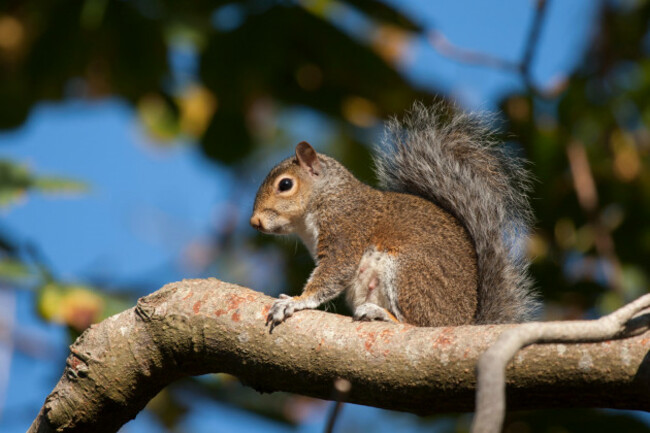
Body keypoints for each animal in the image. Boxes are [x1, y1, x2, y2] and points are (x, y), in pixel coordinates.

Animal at [250, 102, 538, 330]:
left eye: (285, 185)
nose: (255, 222)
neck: (328, 196)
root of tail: (463, 322)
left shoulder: (346, 227)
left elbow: (334, 271)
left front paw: (296, 302)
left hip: (409, 271)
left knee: (418, 325)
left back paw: (381, 314)